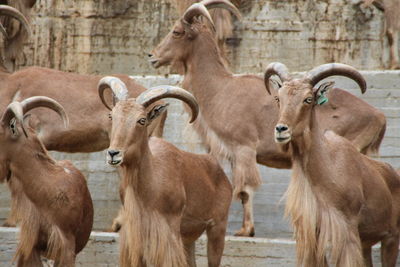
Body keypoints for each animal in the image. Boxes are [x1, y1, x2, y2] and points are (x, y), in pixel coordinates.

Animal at [98, 76, 233, 266]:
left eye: (142, 120)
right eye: (112, 116)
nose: (113, 153)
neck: (149, 187)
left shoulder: (169, 235)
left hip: (217, 228)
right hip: (189, 238)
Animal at [149, 0, 388, 239]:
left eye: (176, 32)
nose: (152, 57)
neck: (220, 89)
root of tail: (380, 117)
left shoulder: (243, 147)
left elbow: (245, 189)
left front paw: (246, 230)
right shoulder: (232, 153)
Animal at [266, 62, 400, 266]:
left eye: (308, 99)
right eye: (278, 98)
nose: (281, 129)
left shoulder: (347, 233)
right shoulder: (313, 237)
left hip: (391, 238)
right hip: (367, 243)